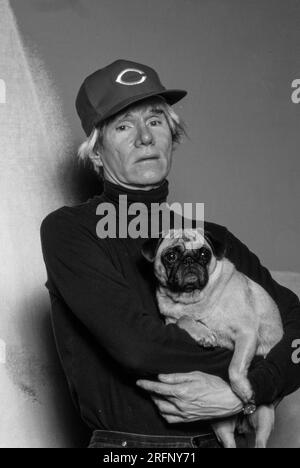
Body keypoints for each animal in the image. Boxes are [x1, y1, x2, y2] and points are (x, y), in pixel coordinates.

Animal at [142, 229, 282, 448]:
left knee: (260, 441)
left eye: (203, 254)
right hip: (221, 424)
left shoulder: (247, 333)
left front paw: (244, 391)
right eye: (171, 256)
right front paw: (204, 334)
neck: (193, 299)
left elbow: (234, 368)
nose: (189, 260)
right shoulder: (171, 321)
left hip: (264, 417)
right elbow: (183, 319)